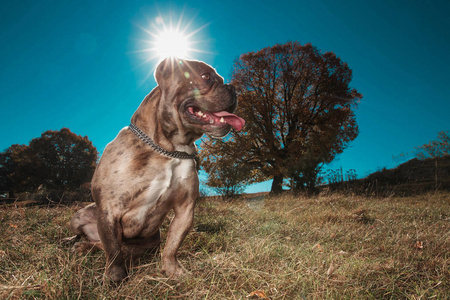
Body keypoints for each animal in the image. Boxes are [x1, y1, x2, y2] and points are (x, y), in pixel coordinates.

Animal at [70, 58, 244, 284]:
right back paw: (78, 244)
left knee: (105, 246)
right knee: (104, 244)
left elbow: (172, 245)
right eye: (206, 76)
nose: (233, 88)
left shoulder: (185, 209)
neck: (168, 149)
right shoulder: (109, 210)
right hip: (80, 215)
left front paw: (173, 271)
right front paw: (115, 277)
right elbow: (113, 251)